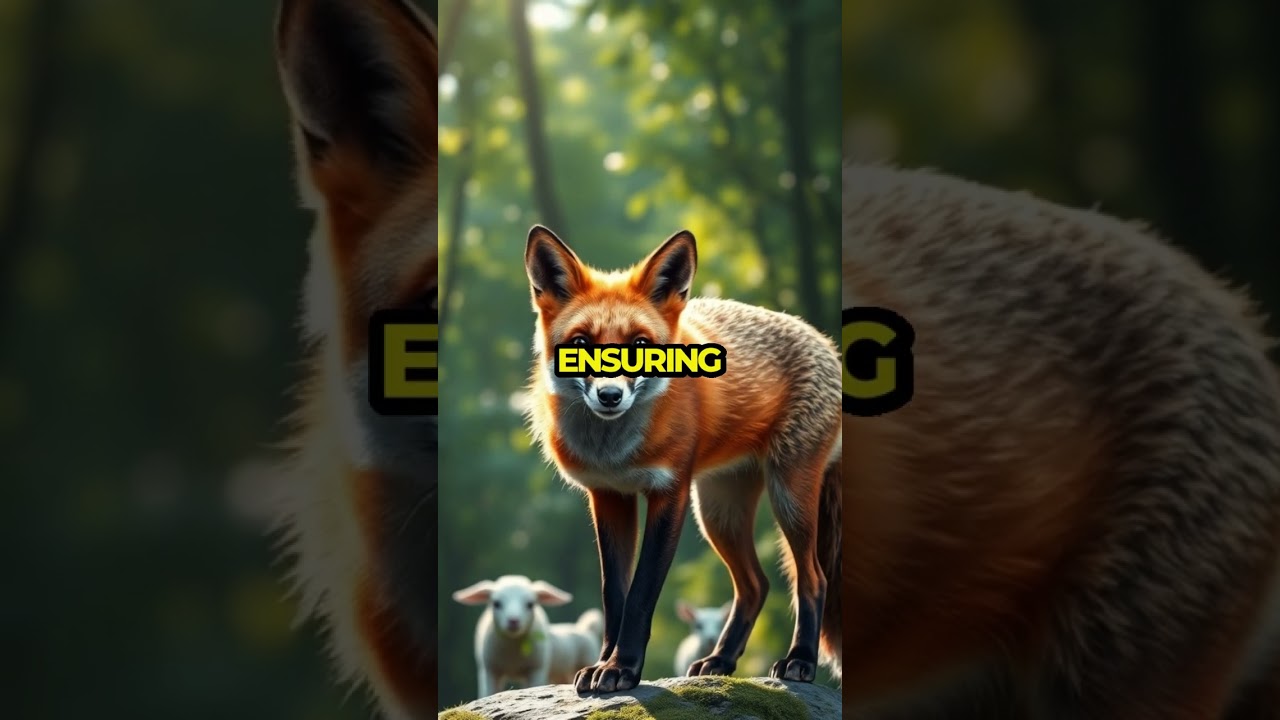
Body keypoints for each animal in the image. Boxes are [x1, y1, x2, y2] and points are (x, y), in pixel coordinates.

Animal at [452, 575, 603, 698]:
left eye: (530, 604)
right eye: (496, 603)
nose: (513, 621)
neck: (512, 654)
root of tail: (584, 627)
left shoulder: (536, 670)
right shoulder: (489, 670)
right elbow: (488, 693)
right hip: (559, 674)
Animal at [522, 225, 844, 694]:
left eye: (640, 346)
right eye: (580, 344)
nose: (610, 396)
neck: (615, 451)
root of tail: (825, 341)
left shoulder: (668, 492)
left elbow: (640, 595)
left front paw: (622, 669)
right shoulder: (608, 496)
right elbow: (614, 595)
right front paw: (603, 663)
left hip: (788, 498)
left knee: (813, 578)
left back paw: (799, 660)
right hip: (718, 513)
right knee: (756, 585)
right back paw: (720, 660)